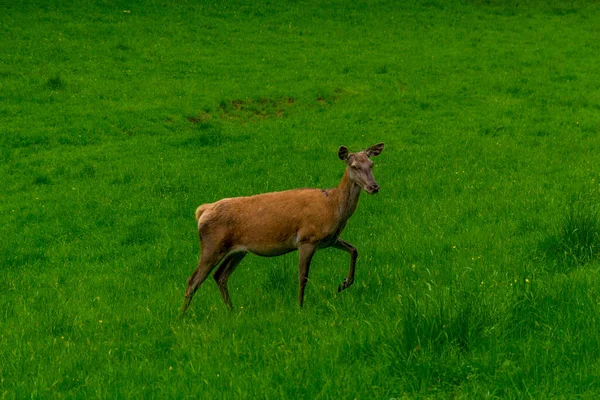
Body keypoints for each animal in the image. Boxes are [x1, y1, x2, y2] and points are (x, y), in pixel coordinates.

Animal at [180, 142, 384, 314]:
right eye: (354, 166)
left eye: (371, 164)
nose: (374, 187)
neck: (333, 207)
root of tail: (202, 211)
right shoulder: (307, 238)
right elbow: (303, 276)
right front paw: (300, 307)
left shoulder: (329, 240)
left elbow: (354, 250)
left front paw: (343, 284)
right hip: (212, 245)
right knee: (193, 280)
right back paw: (182, 316)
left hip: (237, 251)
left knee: (220, 276)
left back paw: (232, 310)